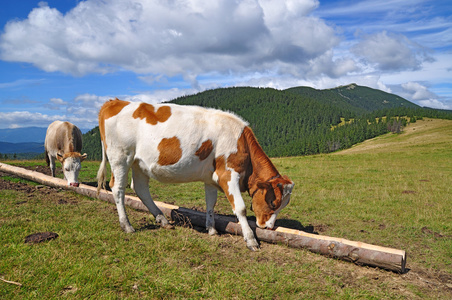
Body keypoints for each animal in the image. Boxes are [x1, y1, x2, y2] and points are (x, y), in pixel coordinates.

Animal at [96, 99, 294, 251]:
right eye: (273, 203)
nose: (269, 227)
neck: (240, 141)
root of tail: (115, 101)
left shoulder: (211, 179)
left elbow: (210, 204)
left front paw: (212, 229)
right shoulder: (227, 174)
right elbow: (240, 208)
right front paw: (251, 240)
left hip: (139, 163)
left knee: (140, 189)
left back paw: (162, 220)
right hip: (121, 157)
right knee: (118, 189)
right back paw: (127, 225)